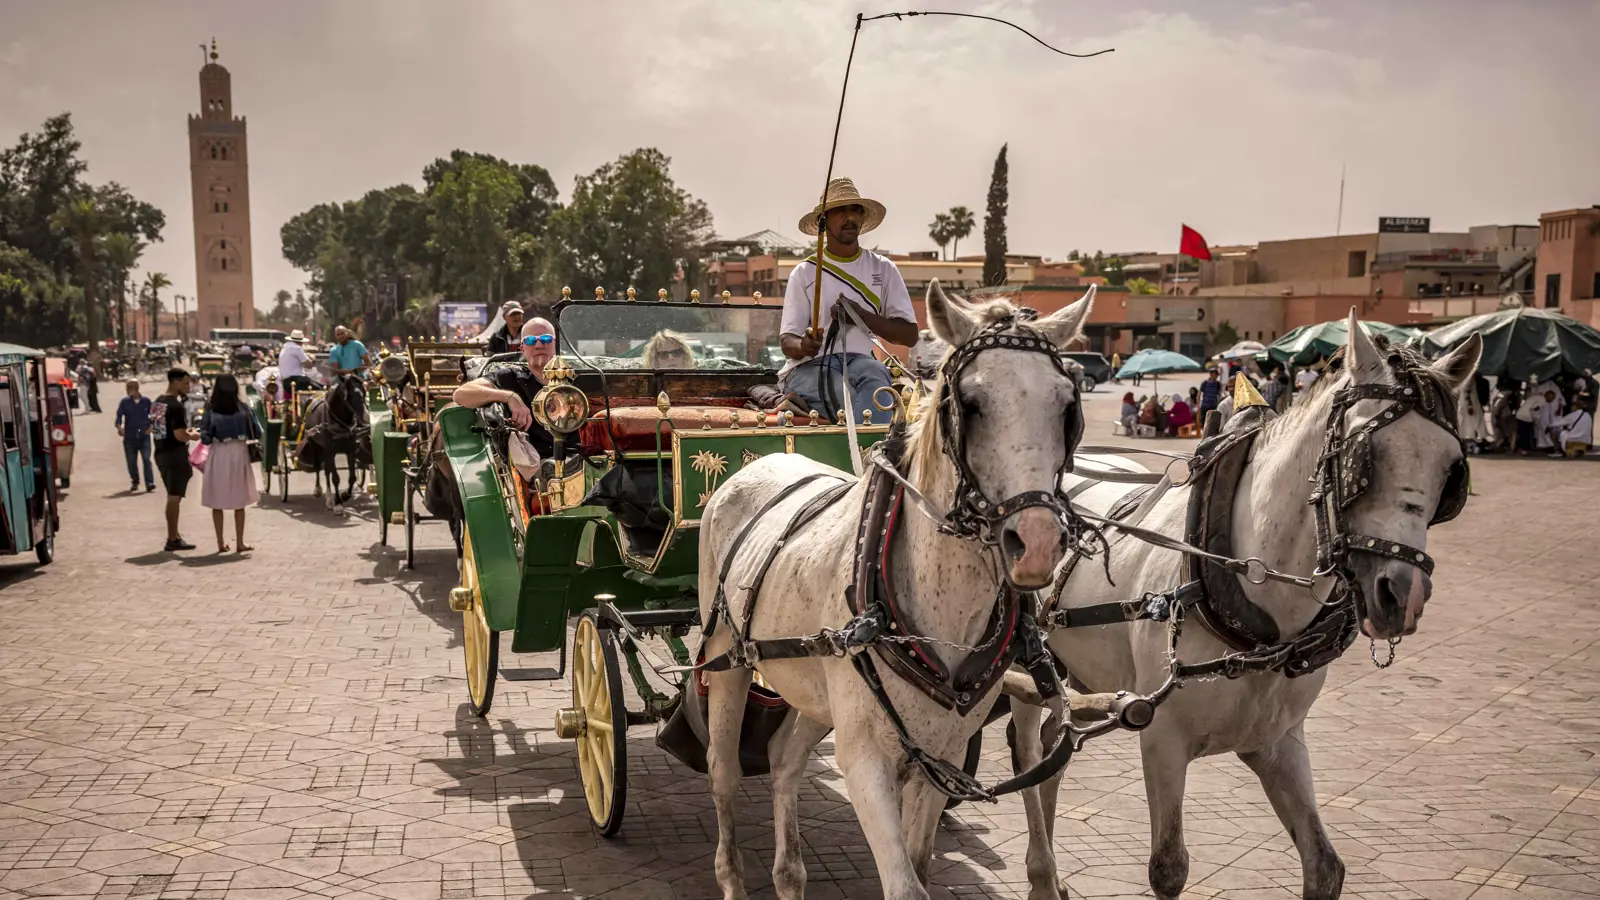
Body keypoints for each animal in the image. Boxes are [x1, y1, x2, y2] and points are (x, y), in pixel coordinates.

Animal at [700, 281, 1100, 896]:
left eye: (1066, 407)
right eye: (970, 403)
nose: (1035, 542)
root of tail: (761, 461)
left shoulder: (943, 755)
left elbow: (920, 864)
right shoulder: (864, 757)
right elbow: (904, 882)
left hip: (816, 688)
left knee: (783, 758)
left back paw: (789, 875)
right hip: (727, 659)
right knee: (723, 772)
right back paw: (733, 878)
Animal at [1017, 313, 1478, 896]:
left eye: (1452, 472)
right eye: (1364, 460)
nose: (1402, 594)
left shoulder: (1277, 743)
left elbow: (1325, 865)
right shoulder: (1160, 738)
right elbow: (1168, 868)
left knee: (1054, 751)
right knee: (1029, 755)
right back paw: (1040, 871)